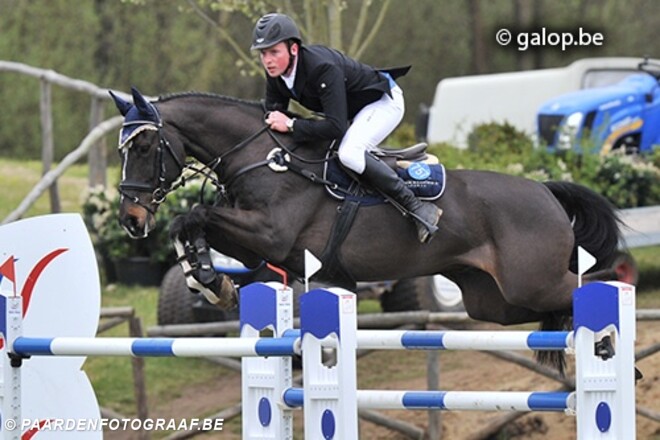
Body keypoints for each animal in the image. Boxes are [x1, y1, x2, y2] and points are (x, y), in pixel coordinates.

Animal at [110, 87, 622, 373]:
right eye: (125, 149)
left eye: (145, 146)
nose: (131, 219)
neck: (265, 158)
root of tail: (545, 192)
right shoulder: (256, 246)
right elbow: (191, 224)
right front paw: (208, 279)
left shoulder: (270, 234)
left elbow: (192, 216)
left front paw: (208, 280)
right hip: (494, 301)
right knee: (548, 308)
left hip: (530, 281)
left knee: (590, 285)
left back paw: (611, 340)